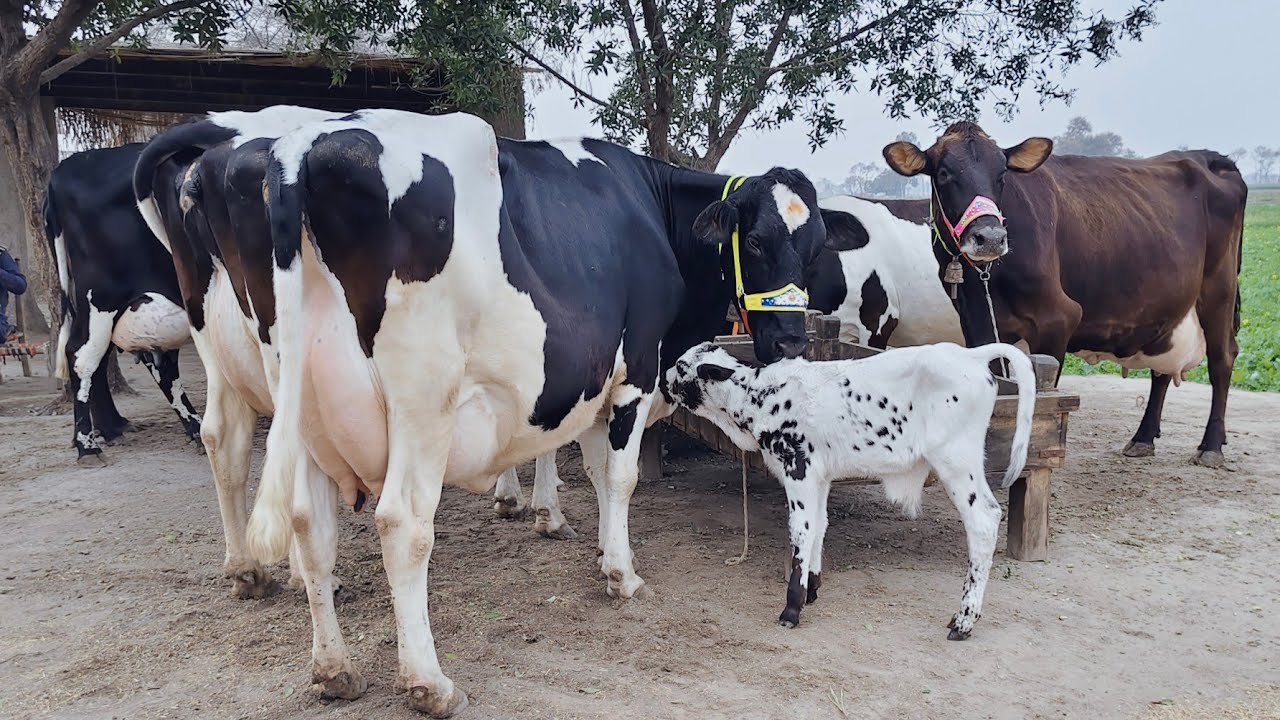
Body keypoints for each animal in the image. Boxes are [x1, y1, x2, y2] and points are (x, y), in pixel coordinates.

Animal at [43, 145, 202, 465]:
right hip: (101, 299)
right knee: (82, 355)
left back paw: (116, 428)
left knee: (129, 362)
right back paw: (88, 446)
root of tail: (65, 167)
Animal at [238, 109, 827, 715]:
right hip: (423, 400)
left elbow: (595, 471)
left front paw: (602, 551)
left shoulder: (595, 382)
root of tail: (306, 144)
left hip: (303, 406)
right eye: (754, 241)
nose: (790, 342)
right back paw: (431, 683)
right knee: (402, 523)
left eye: (816, 249)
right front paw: (622, 575)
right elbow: (621, 476)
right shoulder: (636, 365)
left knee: (309, 525)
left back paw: (334, 671)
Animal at [666, 339, 1033, 634]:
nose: (664, 377)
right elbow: (819, 525)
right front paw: (812, 590)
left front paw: (792, 608)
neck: (764, 397)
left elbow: (800, 531)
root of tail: (969, 354)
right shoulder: (820, 477)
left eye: (682, 367)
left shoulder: (798, 471)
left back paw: (964, 620)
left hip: (957, 462)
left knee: (984, 521)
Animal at [883, 122, 1247, 467]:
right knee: (1162, 366)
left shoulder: (1058, 319)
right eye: (944, 173)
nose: (990, 237)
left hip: (1219, 291)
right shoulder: (976, 321)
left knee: (1222, 359)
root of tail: (1210, 157)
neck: (986, 279)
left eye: (1002, 174)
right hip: (1168, 304)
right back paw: (1143, 438)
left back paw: (1211, 446)